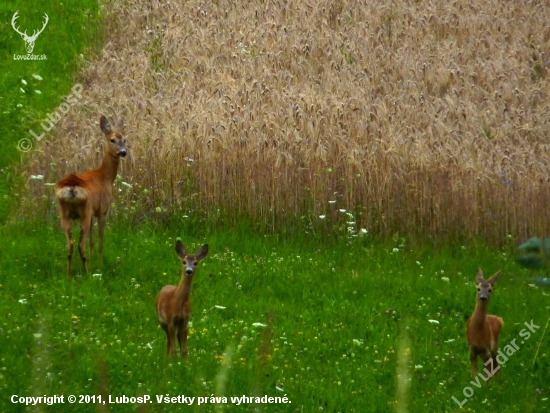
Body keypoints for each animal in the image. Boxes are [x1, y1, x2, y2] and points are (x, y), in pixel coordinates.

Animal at [55, 115, 128, 276]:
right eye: (112, 140)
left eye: (125, 139)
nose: (123, 152)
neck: (105, 176)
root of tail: (71, 186)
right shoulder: (101, 211)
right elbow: (100, 240)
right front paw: (100, 265)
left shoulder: (93, 213)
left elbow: (92, 242)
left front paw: (93, 262)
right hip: (84, 212)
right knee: (79, 244)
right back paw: (87, 273)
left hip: (64, 213)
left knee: (70, 243)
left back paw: (69, 274)